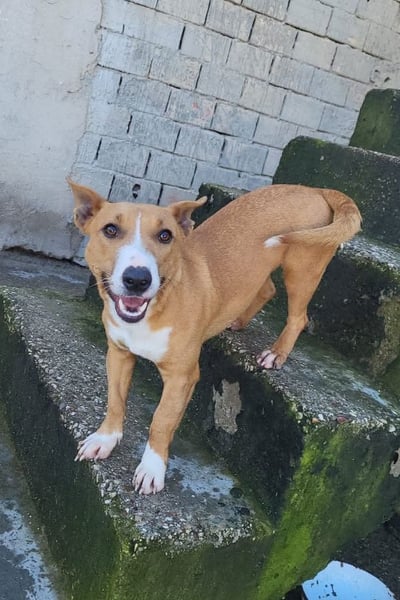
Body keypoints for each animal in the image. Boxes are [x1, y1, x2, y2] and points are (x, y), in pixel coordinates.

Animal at [69, 180, 361, 494]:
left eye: (165, 235)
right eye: (110, 230)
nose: (138, 279)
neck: (155, 309)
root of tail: (314, 189)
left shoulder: (182, 377)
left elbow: (162, 421)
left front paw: (152, 468)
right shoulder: (118, 354)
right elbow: (115, 400)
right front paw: (105, 439)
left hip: (303, 268)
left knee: (299, 317)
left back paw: (277, 353)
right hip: (258, 269)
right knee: (267, 289)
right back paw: (238, 321)